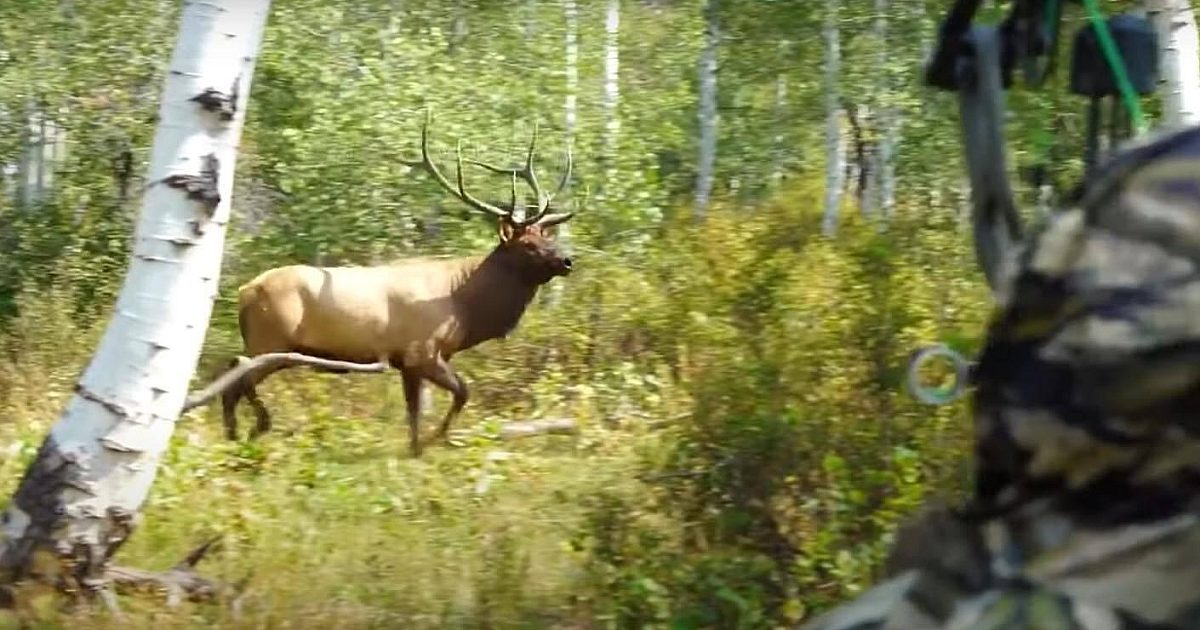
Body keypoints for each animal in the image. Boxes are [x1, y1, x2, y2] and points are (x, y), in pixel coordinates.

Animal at [218, 113, 578, 457]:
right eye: (528, 245)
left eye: (547, 236)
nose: (567, 261)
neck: (464, 305)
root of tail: (244, 292)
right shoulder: (423, 351)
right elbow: (462, 391)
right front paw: (436, 439)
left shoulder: (406, 363)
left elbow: (413, 413)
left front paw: (416, 449)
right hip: (271, 342)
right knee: (237, 376)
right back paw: (256, 427)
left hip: (269, 346)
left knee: (230, 378)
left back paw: (234, 439)